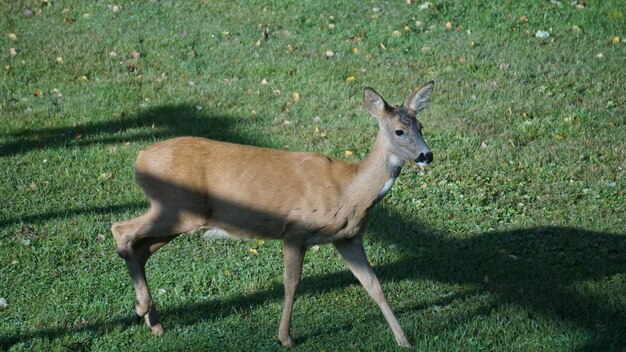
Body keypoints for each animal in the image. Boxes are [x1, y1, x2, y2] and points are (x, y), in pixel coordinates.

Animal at [112, 81, 432, 348]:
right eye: (399, 131)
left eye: (421, 125)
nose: (426, 155)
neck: (348, 189)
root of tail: (140, 158)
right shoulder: (295, 231)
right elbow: (291, 284)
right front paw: (285, 338)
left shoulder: (348, 238)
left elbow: (373, 284)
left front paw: (404, 340)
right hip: (175, 209)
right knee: (121, 229)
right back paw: (142, 308)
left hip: (178, 218)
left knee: (140, 248)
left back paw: (153, 322)